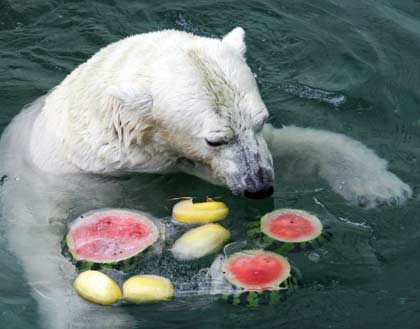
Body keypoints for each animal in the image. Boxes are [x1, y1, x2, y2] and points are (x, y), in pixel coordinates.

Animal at [0, 27, 414, 328]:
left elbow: (295, 146)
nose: (259, 186)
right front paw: (97, 321)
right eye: (215, 139)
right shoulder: (60, 180)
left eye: (260, 121)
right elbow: (40, 244)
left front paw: (382, 189)